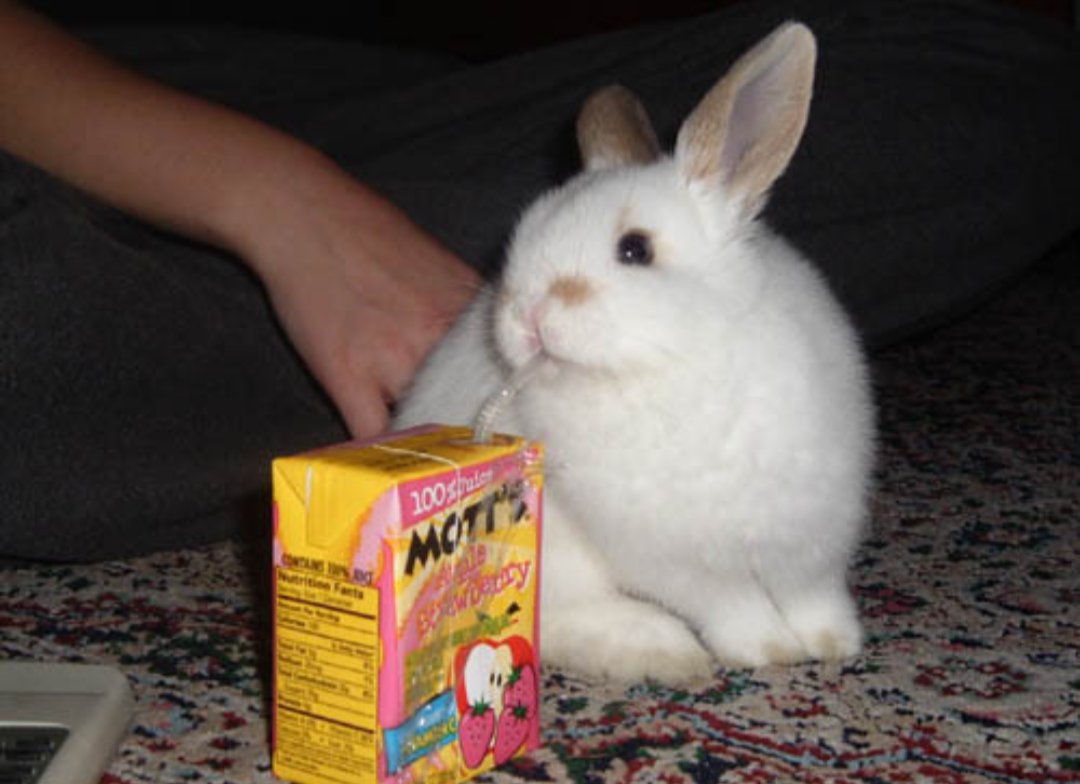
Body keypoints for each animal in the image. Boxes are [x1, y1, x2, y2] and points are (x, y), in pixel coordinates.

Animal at [393, 22, 875, 684]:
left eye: (635, 249)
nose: (524, 317)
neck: (674, 363)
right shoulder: (683, 563)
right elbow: (736, 607)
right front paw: (768, 650)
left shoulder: (809, 535)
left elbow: (813, 594)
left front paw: (834, 642)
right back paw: (664, 650)